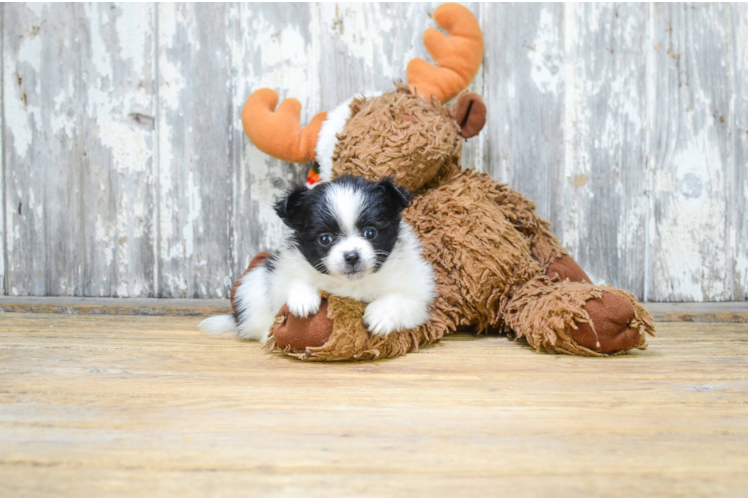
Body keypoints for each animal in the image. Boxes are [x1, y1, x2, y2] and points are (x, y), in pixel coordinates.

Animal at [200, 174, 432, 342]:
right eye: (325, 239)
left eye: (370, 233)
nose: (352, 256)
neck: (351, 285)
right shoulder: (281, 270)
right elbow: (293, 281)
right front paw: (303, 299)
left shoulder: (417, 291)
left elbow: (401, 298)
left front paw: (381, 316)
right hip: (252, 286)